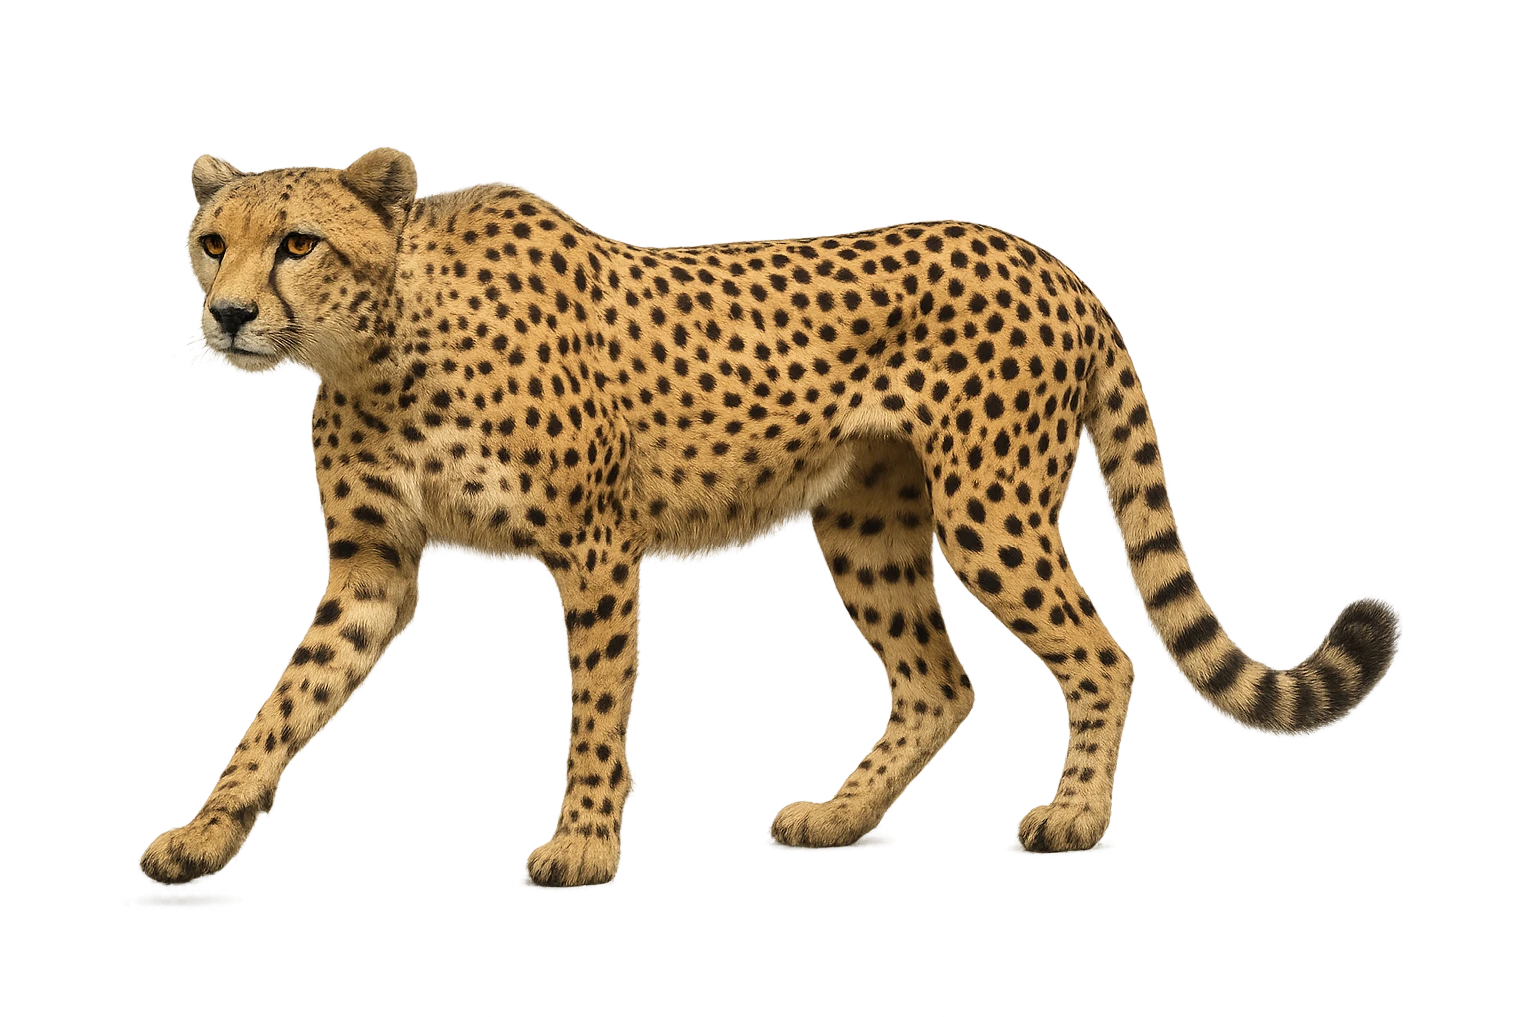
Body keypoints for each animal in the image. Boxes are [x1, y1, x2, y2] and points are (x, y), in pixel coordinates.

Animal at [138, 147, 1402, 887]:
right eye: (211, 241)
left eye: (298, 242)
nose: (230, 315)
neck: (378, 343)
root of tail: (1047, 257)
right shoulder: (370, 566)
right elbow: (282, 701)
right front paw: (206, 829)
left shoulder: (594, 549)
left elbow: (595, 709)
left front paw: (581, 842)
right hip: (865, 523)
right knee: (937, 680)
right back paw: (838, 820)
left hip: (990, 507)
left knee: (1102, 654)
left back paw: (1071, 819)